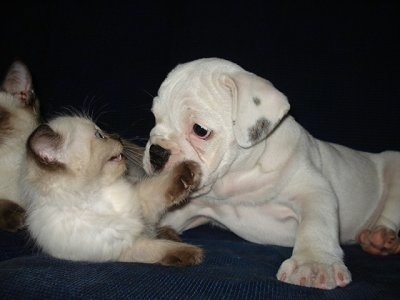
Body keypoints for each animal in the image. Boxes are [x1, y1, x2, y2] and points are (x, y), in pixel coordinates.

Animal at [21, 116, 203, 266]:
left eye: (103, 131)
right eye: (100, 135)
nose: (117, 136)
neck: (98, 194)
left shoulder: (141, 201)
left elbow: (161, 186)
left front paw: (189, 170)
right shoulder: (122, 246)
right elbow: (159, 249)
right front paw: (193, 253)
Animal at [144, 57, 400, 290]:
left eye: (200, 130)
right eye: (155, 118)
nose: (156, 152)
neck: (236, 178)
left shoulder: (313, 191)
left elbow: (316, 223)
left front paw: (314, 264)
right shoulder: (192, 207)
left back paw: (380, 238)